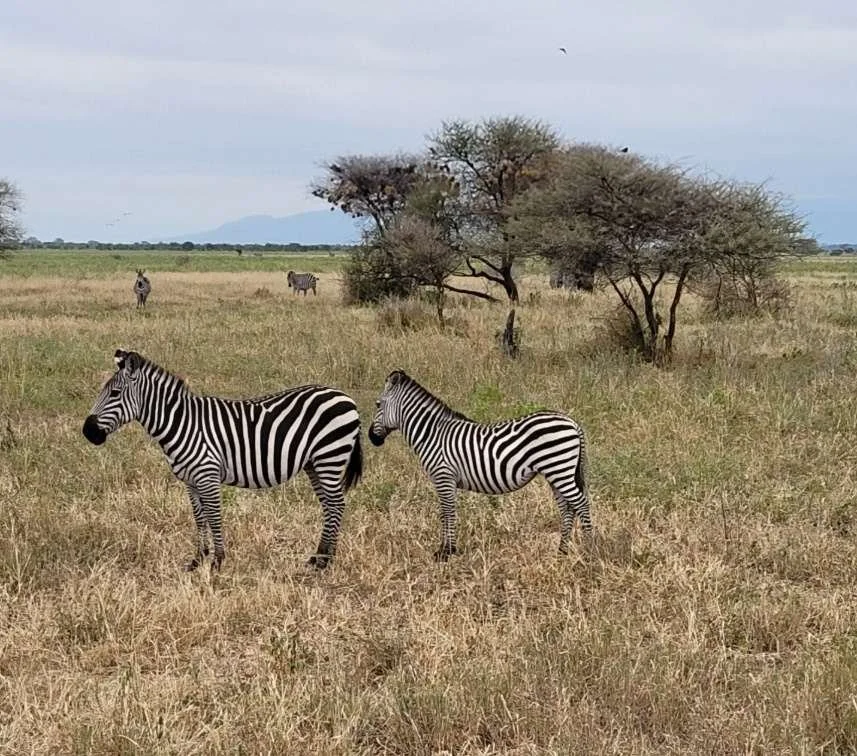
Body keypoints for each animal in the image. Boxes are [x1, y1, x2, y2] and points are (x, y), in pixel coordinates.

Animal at [82, 349, 363, 571]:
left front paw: (217, 562)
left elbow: (214, 516)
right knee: (328, 505)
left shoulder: (207, 475)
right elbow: (199, 518)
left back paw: (327, 561)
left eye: (115, 393)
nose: (88, 432)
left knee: (337, 504)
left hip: (330, 457)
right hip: (315, 463)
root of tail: (344, 396)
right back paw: (319, 557)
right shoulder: (191, 481)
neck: (181, 424)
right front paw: (198, 560)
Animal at [368, 370, 592, 561]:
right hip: (557, 472)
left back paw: (590, 550)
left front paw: (447, 552)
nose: (372, 438)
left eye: (378, 404)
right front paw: (446, 549)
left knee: (581, 503)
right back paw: (561, 552)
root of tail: (572, 422)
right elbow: (445, 513)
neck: (432, 433)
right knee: (567, 508)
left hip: (559, 469)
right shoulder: (446, 480)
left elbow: (447, 512)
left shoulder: (443, 476)